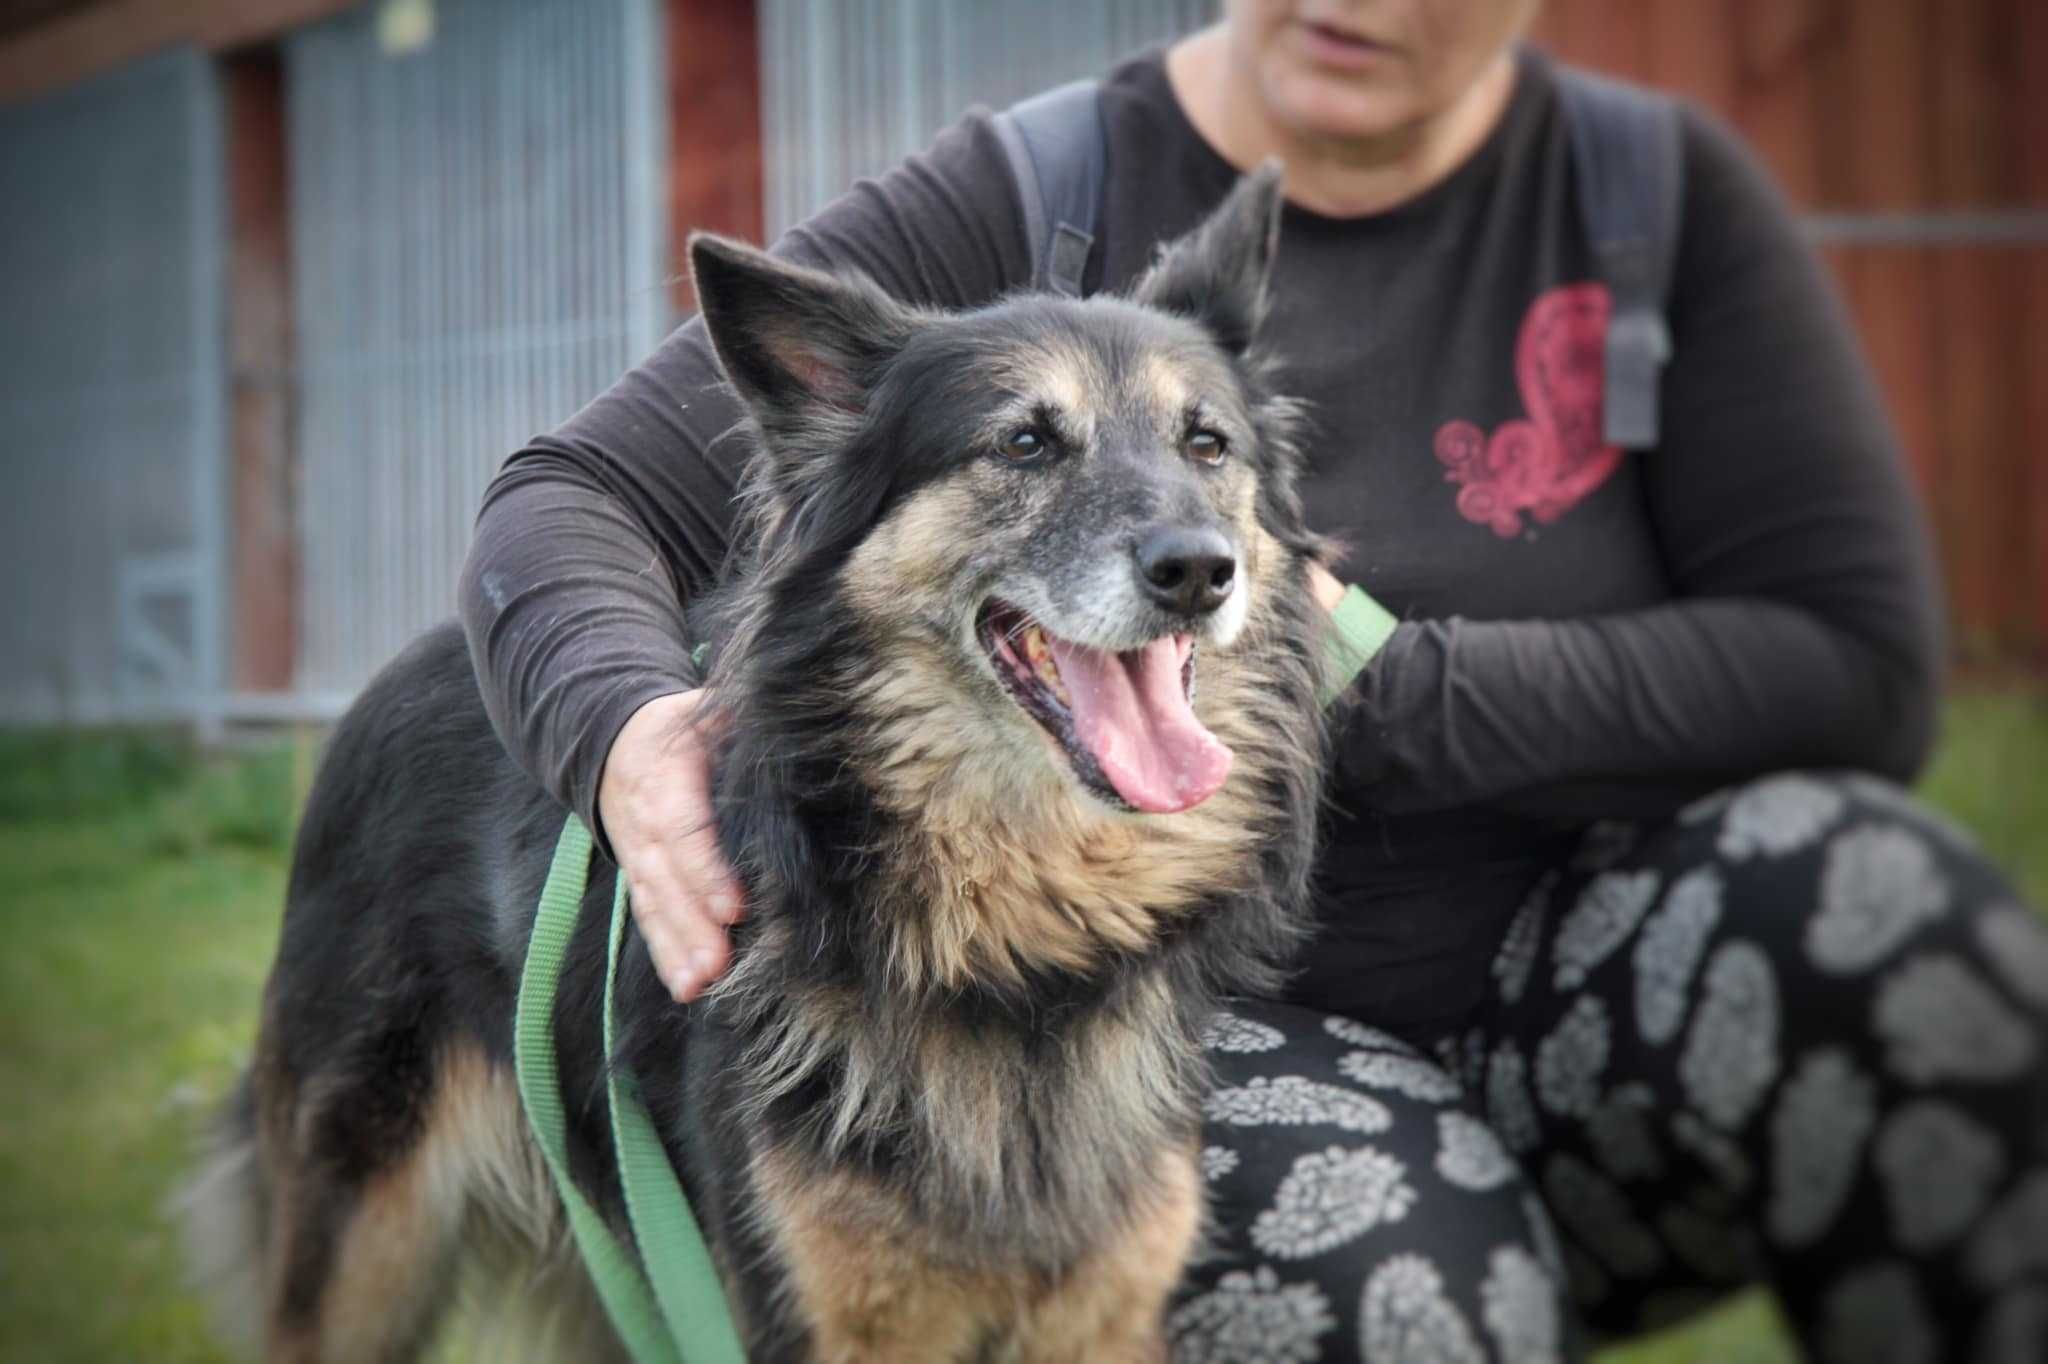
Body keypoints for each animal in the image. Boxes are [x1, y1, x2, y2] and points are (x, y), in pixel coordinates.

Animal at [188, 164, 1327, 1351]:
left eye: (1207, 445)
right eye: (1023, 444)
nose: (1197, 570)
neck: (1016, 960)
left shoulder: (1103, 1314)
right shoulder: (808, 1315)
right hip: (362, 1257)